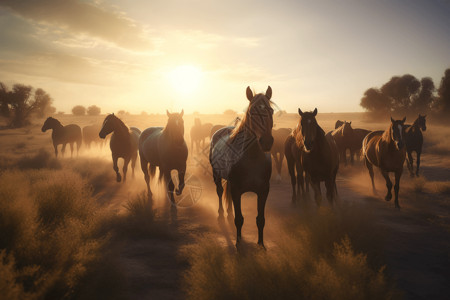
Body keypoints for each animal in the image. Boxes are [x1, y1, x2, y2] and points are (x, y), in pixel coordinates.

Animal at [210, 85, 274, 247]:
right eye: (251, 112)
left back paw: (228, 212)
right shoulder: (237, 190)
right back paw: (221, 215)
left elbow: (260, 220)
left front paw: (261, 244)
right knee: (220, 192)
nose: (266, 142)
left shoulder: (263, 191)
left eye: (271, 111)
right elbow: (239, 219)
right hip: (216, 175)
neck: (252, 159)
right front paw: (239, 243)